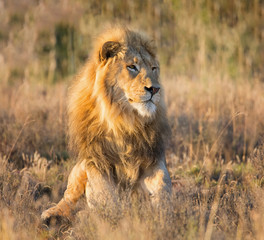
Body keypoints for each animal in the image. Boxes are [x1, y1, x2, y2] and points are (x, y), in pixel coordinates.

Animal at [41, 27, 171, 221]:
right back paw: (52, 215)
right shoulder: (96, 159)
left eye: (154, 68)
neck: (124, 120)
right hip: (79, 169)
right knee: (69, 198)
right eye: (132, 67)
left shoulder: (153, 157)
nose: (155, 89)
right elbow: (106, 198)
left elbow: (163, 186)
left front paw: (166, 213)